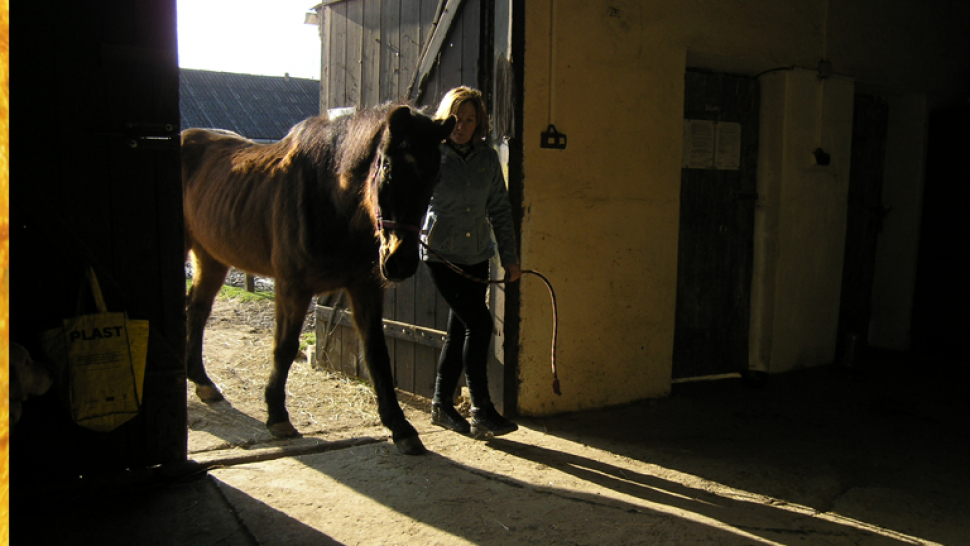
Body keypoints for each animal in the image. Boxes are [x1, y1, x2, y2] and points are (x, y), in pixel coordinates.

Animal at [182, 104, 454, 452]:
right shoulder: (292, 288)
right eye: (388, 169)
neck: (330, 199)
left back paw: (202, 382)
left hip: (212, 257)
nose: (400, 262)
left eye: (436, 177)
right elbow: (285, 348)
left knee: (198, 309)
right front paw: (277, 416)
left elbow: (378, 353)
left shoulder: (365, 287)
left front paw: (400, 426)